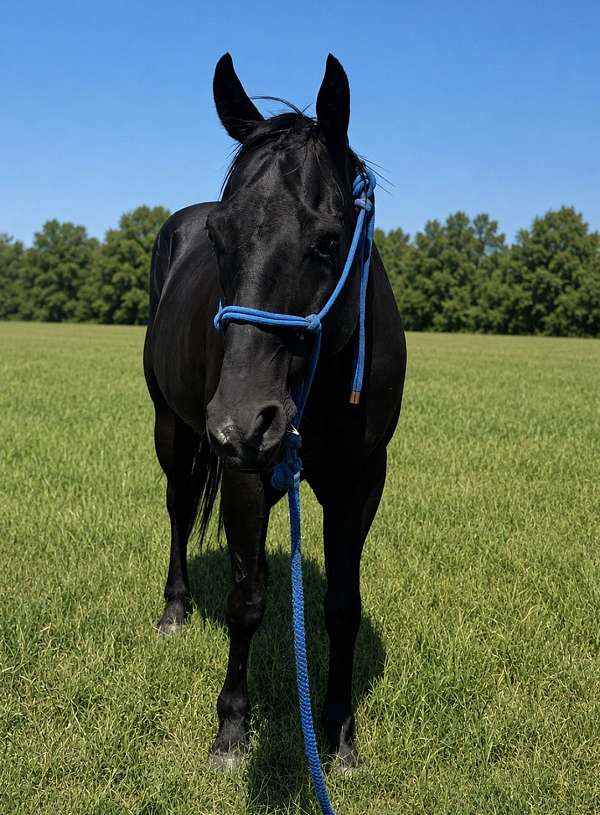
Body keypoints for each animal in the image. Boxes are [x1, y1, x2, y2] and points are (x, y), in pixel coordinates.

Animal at [143, 52, 407, 771]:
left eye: (328, 239)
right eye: (219, 235)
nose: (240, 422)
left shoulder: (361, 481)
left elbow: (342, 606)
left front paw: (339, 733)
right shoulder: (245, 475)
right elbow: (246, 599)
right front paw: (232, 729)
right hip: (173, 430)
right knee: (180, 510)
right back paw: (175, 610)